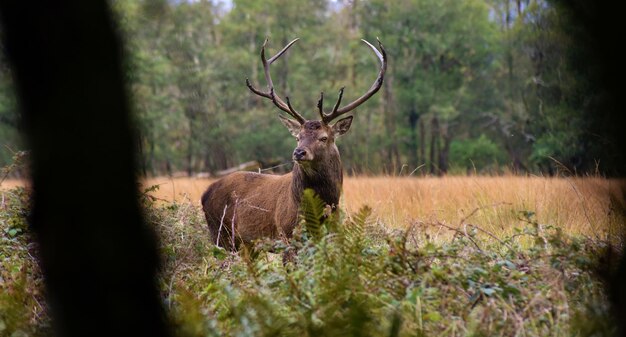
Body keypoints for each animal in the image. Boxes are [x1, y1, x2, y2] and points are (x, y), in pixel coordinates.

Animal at [201, 37, 386, 249]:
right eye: (298, 137)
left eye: (324, 138)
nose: (299, 152)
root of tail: (204, 193)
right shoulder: (287, 234)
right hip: (221, 234)